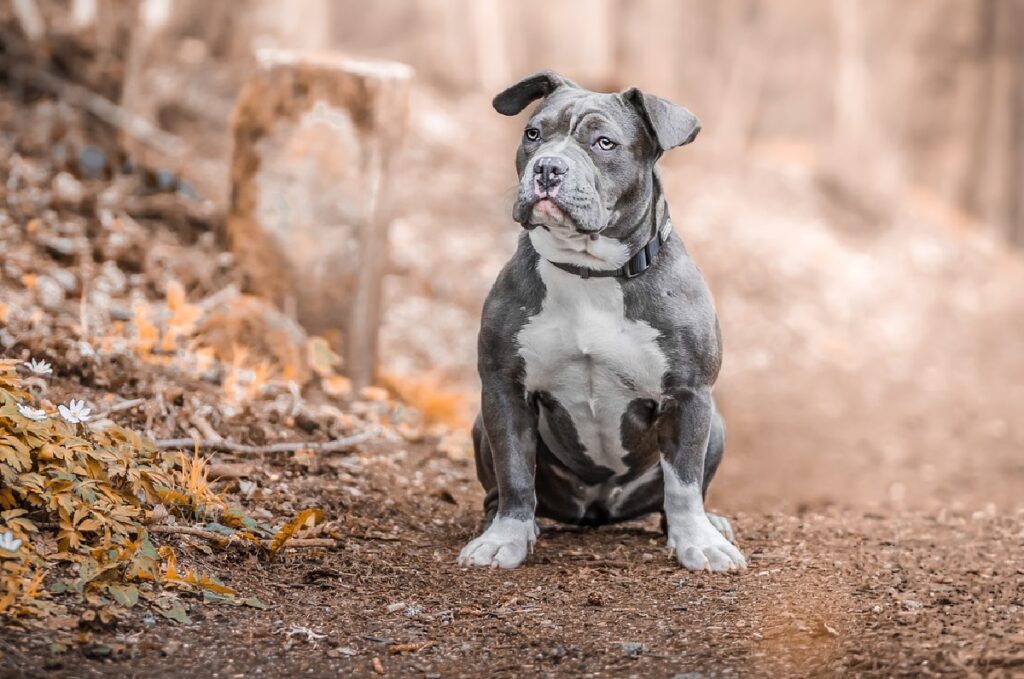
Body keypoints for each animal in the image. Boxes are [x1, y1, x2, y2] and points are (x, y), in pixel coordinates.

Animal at [458, 71, 745, 573]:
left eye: (604, 143)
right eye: (533, 134)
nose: (548, 168)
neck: (590, 272)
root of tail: (597, 510)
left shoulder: (690, 394)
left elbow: (684, 482)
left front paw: (698, 542)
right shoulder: (503, 387)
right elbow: (515, 473)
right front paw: (505, 538)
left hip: (717, 426)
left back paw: (704, 526)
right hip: (481, 423)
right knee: (501, 492)